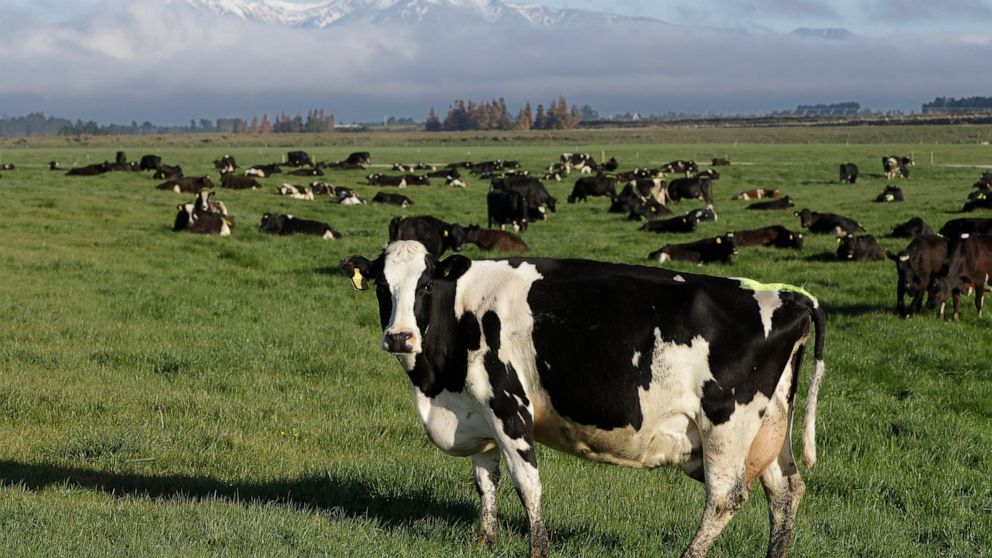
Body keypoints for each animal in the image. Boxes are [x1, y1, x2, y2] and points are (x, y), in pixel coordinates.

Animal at [340, 243, 828, 558]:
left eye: (425, 285)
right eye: (382, 287)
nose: (399, 337)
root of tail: (791, 296)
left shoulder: (509, 407)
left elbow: (528, 485)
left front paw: (537, 550)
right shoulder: (477, 411)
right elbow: (485, 481)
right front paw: (485, 543)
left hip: (725, 426)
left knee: (725, 497)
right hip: (769, 428)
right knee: (786, 492)